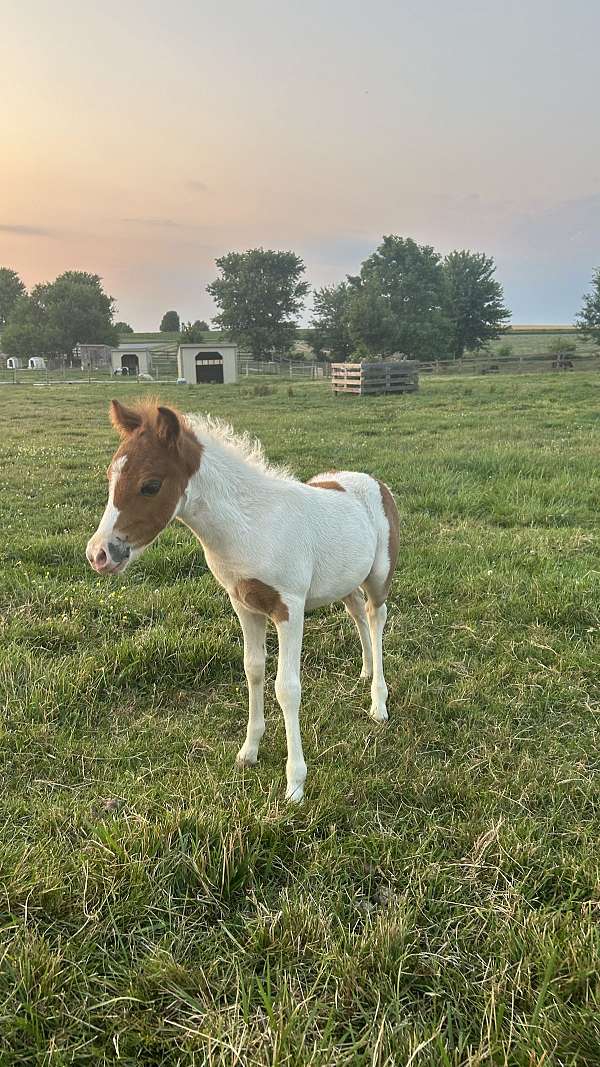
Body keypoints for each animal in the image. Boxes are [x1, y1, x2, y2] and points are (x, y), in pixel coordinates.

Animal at [86, 399, 399, 802]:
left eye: (150, 485)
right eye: (110, 477)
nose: (99, 554)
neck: (252, 525)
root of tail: (375, 482)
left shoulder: (288, 608)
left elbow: (287, 688)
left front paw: (295, 783)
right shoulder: (245, 604)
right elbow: (253, 670)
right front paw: (249, 751)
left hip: (378, 575)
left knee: (376, 617)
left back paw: (378, 702)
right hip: (344, 579)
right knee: (357, 611)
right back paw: (365, 669)